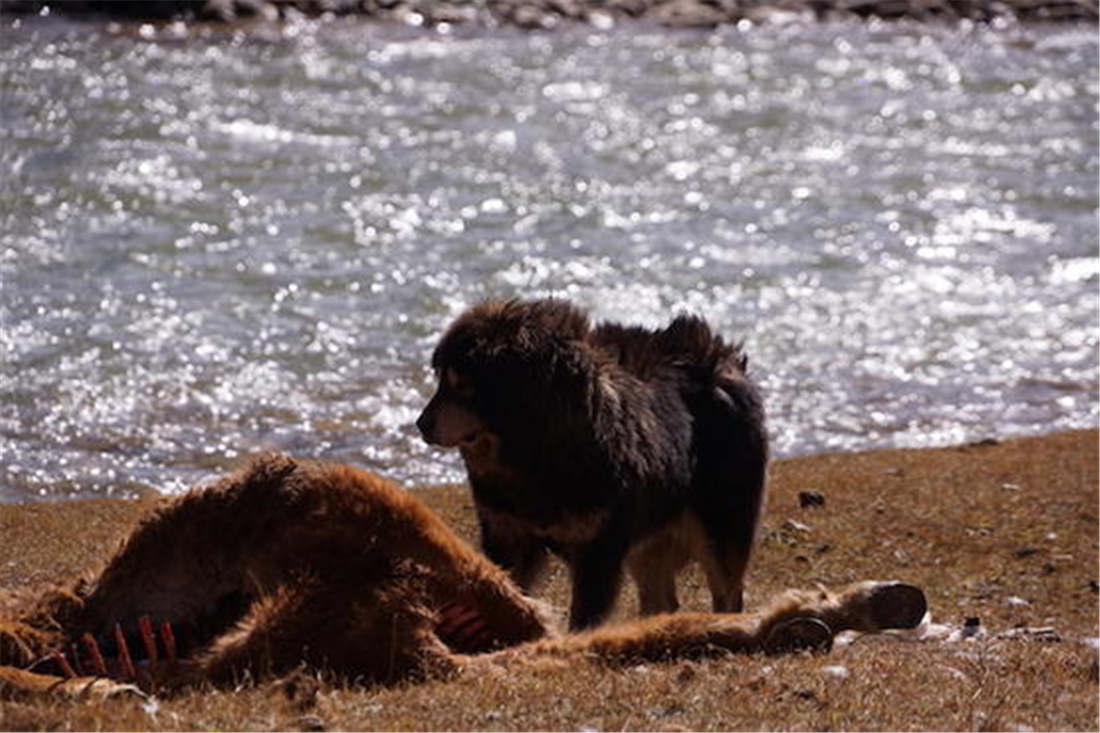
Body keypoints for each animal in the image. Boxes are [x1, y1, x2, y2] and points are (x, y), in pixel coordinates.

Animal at [415, 297, 770, 629]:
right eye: (442, 381)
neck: (535, 455)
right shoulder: (508, 535)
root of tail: (724, 356)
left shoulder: (597, 550)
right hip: (648, 537)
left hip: (720, 527)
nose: (421, 424)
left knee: (728, 594)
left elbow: (582, 620)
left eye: (463, 384)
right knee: (662, 600)